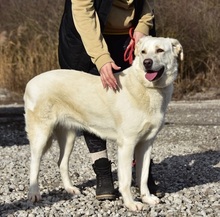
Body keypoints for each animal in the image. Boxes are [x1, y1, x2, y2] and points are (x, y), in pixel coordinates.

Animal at [23, 36, 182, 211]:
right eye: (143, 52)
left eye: (160, 50)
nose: (147, 62)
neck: (146, 88)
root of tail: (30, 82)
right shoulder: (127, 144)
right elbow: (126, 180)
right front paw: (131, 203)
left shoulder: (146, 143)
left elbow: (143, 175)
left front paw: (147, 198)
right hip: (41, 135)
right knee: (34, 163)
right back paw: (34, 193)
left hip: (69, 136)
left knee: (61, 163)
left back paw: (70, 189)